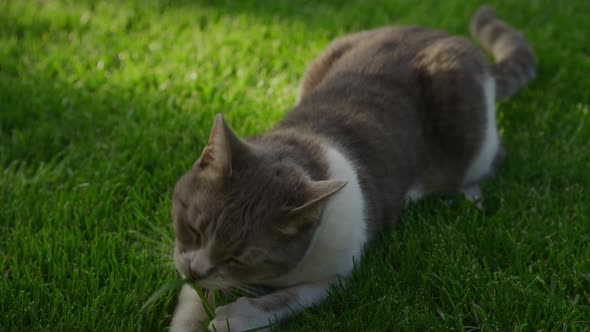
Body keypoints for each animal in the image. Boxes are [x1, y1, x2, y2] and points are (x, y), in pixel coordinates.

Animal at [168, 5, 536, 332]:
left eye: (239, 260)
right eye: (193, 229)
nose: (196, 270)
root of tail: (449, 37)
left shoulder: (340, 270)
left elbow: (288, 298)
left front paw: (235, 316)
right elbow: (191, 304)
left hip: (472, 137)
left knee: (491, 155)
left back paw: (469, 195)